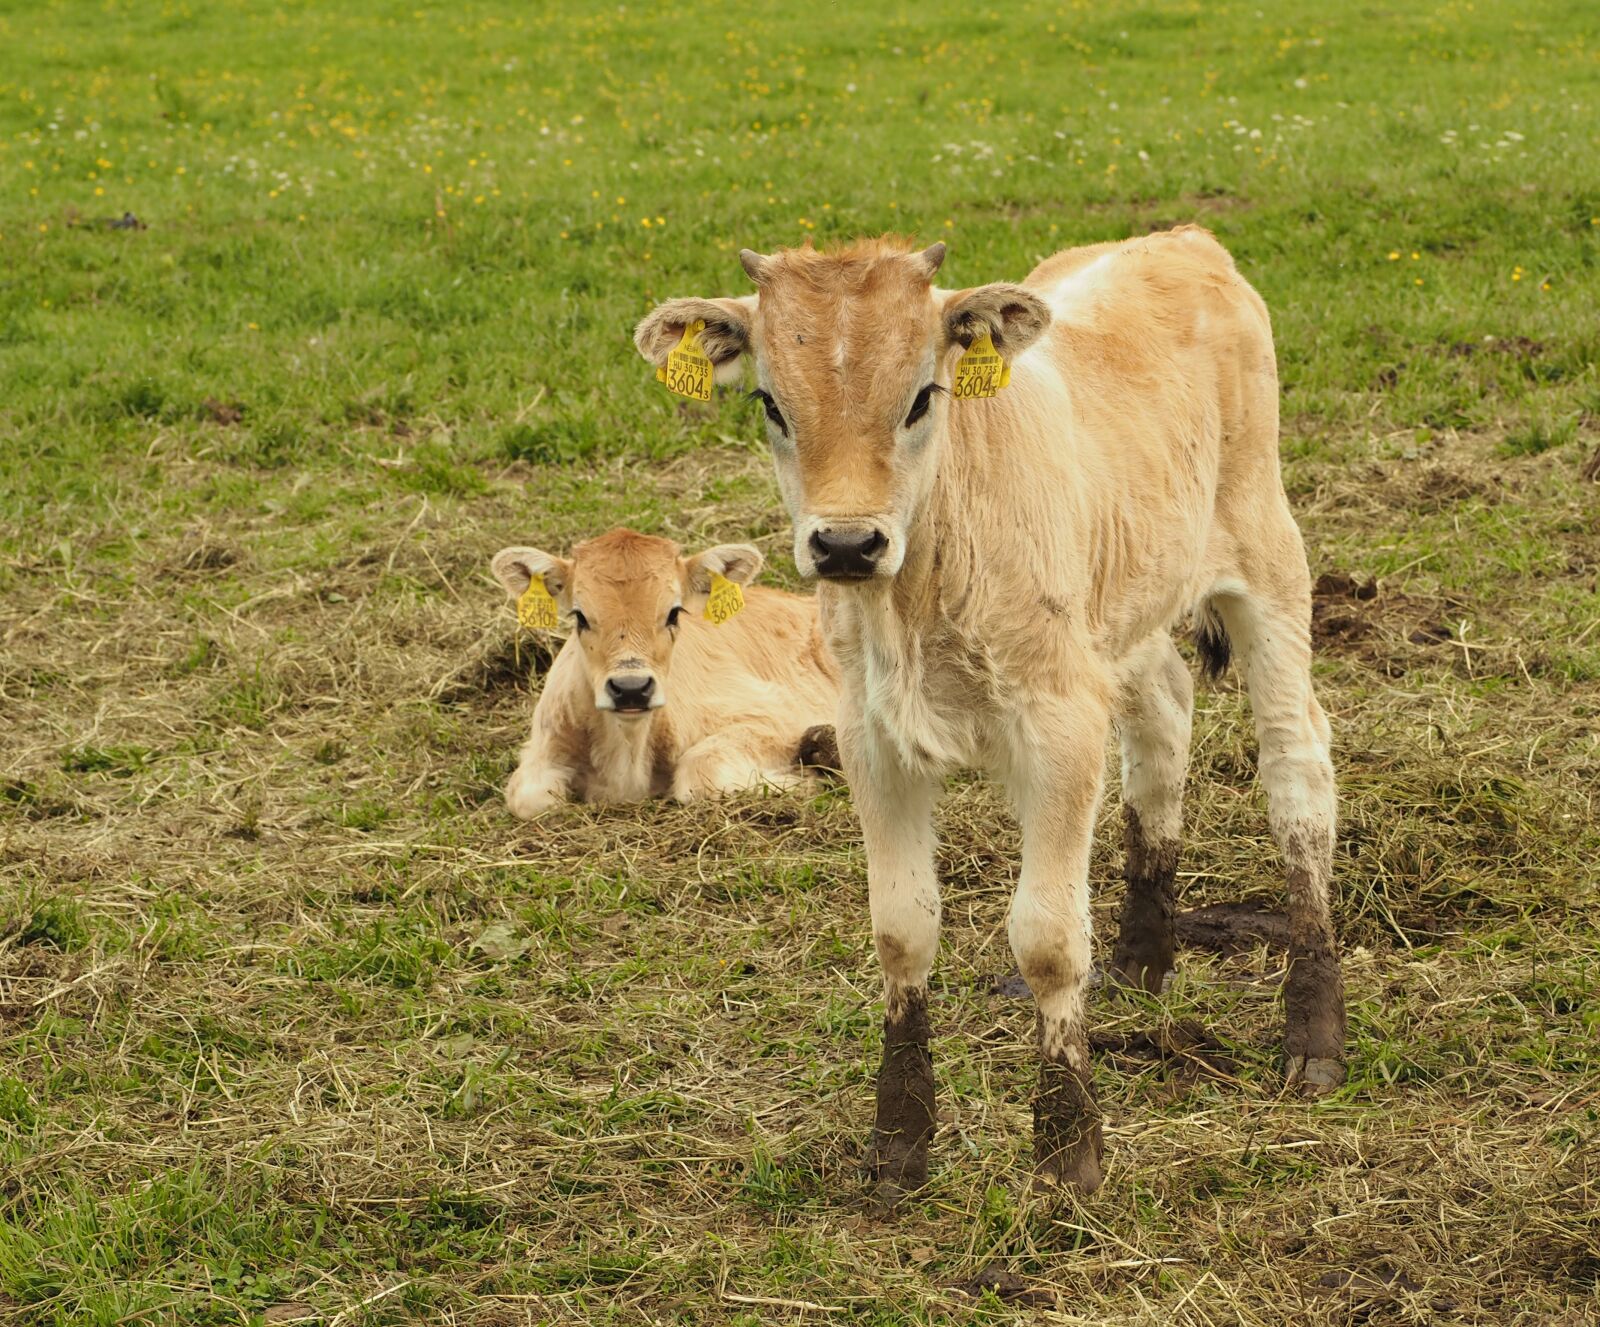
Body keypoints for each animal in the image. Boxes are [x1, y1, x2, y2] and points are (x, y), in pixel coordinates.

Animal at [490, 528, 839, 814]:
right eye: (580, 616)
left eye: (674, 613)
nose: (631, 688)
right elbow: (529, 798)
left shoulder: (775, 716)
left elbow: (700, 774)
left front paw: (806, 778)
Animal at [634, 229, 1345, 1206]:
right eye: (773, 404)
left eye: (921, 396)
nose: (847, 544)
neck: (923, 587)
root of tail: (1181, 240)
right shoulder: (871, 740)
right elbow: (901, 930)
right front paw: (899, 1143)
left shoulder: (1060, 725)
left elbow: (1047, 938)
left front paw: (1068, 1150)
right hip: (1123, 608)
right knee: (1163, 715)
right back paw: (1142, 957)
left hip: (1266, 554)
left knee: (1295, 762)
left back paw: (1313, 1033)